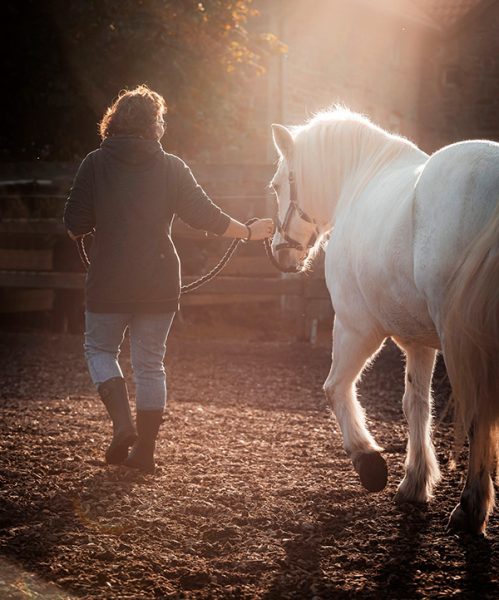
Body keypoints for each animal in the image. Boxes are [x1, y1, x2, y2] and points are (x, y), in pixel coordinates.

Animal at [272, 108, 498, 536]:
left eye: (276, 186)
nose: (279, 252)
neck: (359, 182)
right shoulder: (420, 342)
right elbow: (416, 405)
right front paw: (415, 481)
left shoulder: (356, 327)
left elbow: (335, 388)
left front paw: (369, 463)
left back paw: (469, 508)